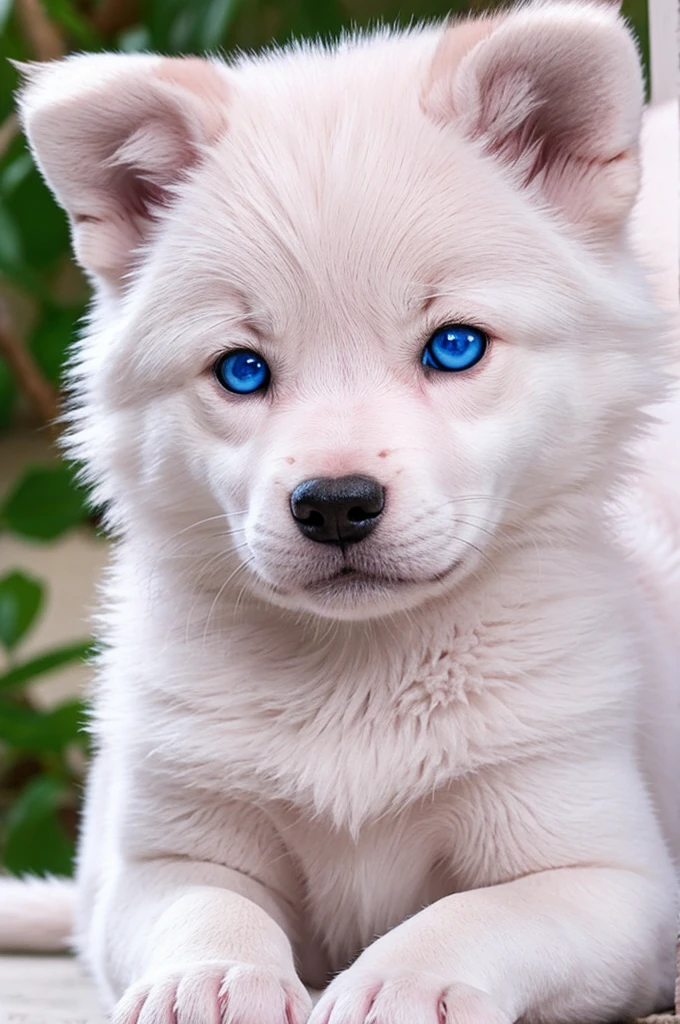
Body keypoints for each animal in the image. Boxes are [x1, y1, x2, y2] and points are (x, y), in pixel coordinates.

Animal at [1, 2, 680, 1024]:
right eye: (242, 370)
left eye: (454, 346)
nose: (334, 505)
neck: (359, 676)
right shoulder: (161, 855)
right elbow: (207, 907)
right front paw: (211, 980)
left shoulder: (605, 874)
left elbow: (477, 913)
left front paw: (407, 981)